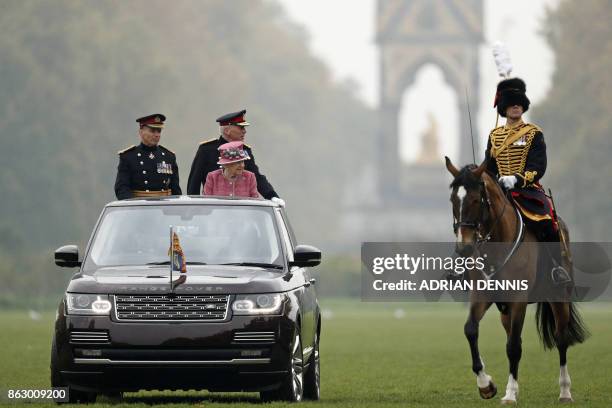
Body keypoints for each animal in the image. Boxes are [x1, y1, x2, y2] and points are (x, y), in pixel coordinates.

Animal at [444, 157, 588, 404]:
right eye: (453, 200)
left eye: (475, 199)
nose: (464, 248)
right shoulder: (482, 295)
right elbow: (471, 330)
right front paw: (486, 385)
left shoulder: (518, 299)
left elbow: (513, 347)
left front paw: (510, 394)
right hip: (505, 311)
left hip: (559, 298)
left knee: (560, 339)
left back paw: (565, 391)